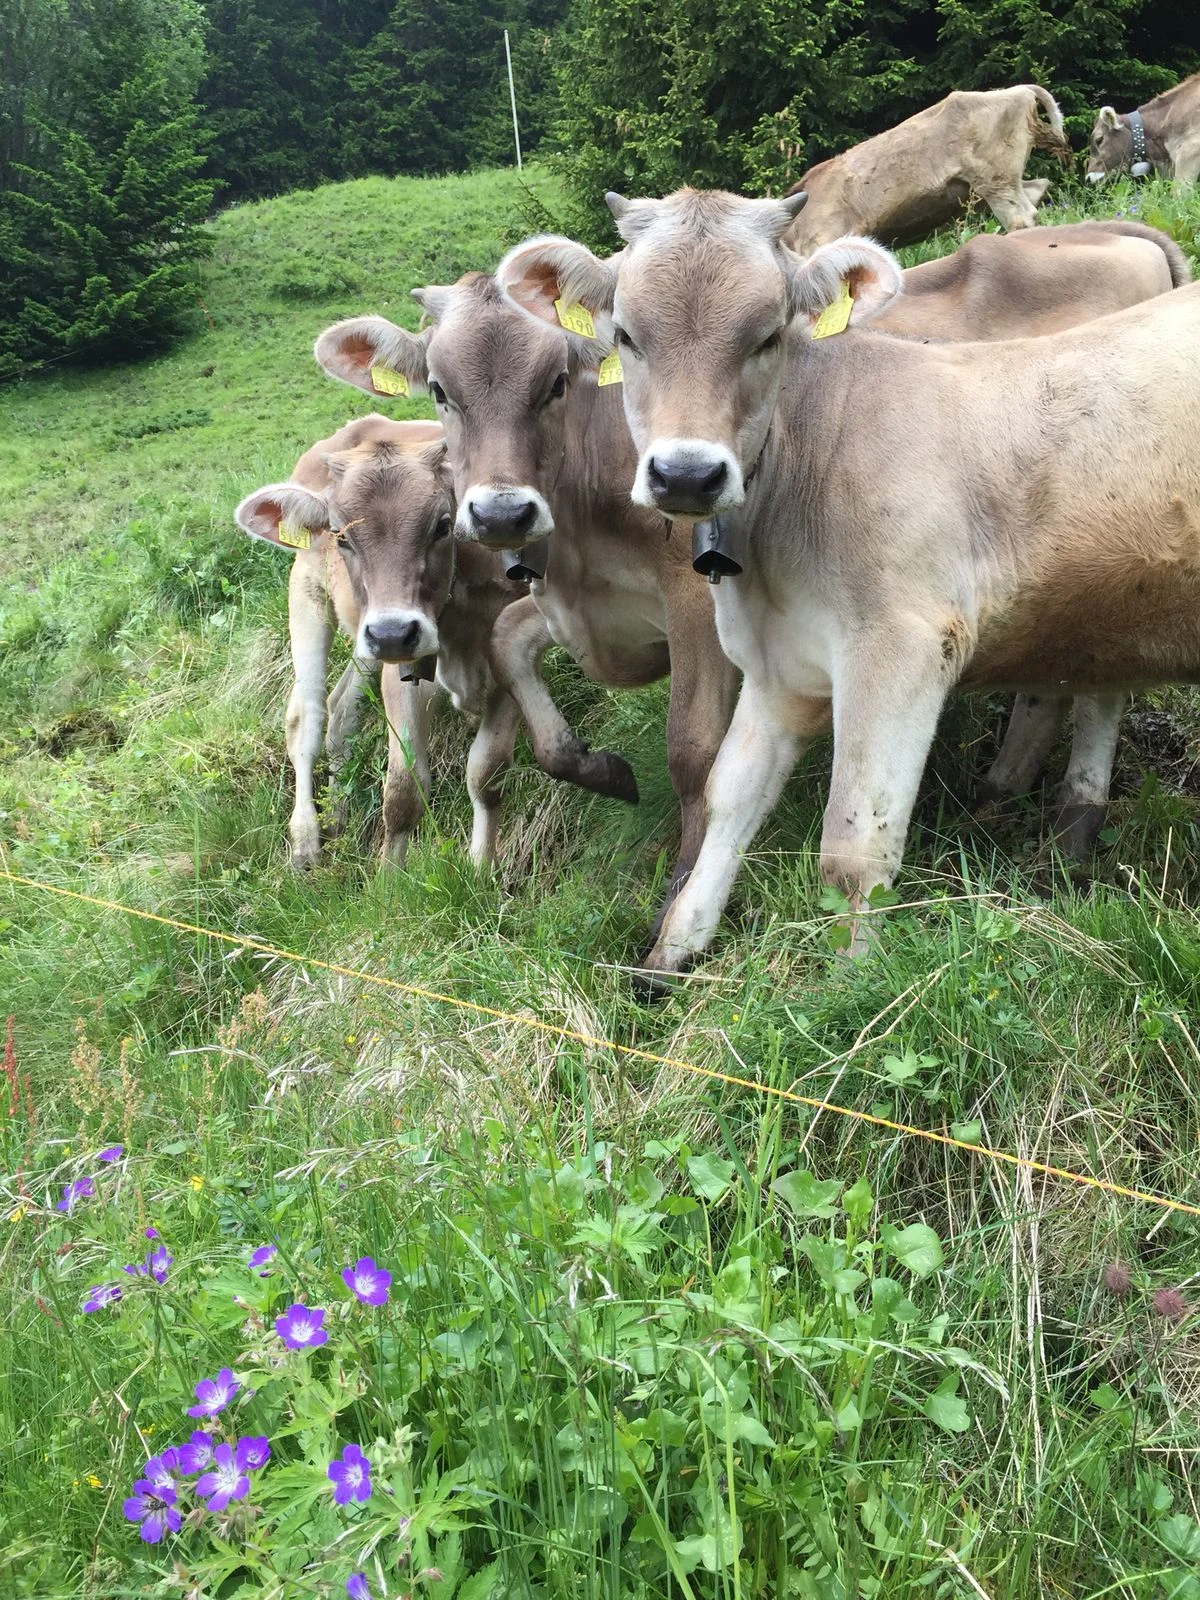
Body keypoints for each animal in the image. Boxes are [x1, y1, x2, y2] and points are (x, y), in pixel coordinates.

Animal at [235, 416, 526, 872]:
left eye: (443, 524)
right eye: (340, 536)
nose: (393, 633)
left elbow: (487, 775)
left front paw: (481, 867)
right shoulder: (403, 675)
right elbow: (404, 790)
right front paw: (391, 879)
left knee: (341, 711)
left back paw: (337, 813)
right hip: (309, 595)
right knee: (308, 716)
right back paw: (306, 838)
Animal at [313, 281, 740, 948]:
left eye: (557, 382)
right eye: (438, 388)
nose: (500, 515)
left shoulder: (694, 600)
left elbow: (694, 755)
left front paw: (678, 900)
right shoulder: (569, 608)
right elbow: (505, 661)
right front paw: (600, 769)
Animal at [783, 86, 1070, 253]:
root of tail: (1020, 90)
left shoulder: (823, 239)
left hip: (995, 182)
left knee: (1021, 217)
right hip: (1000, 183)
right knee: (1038, 189)